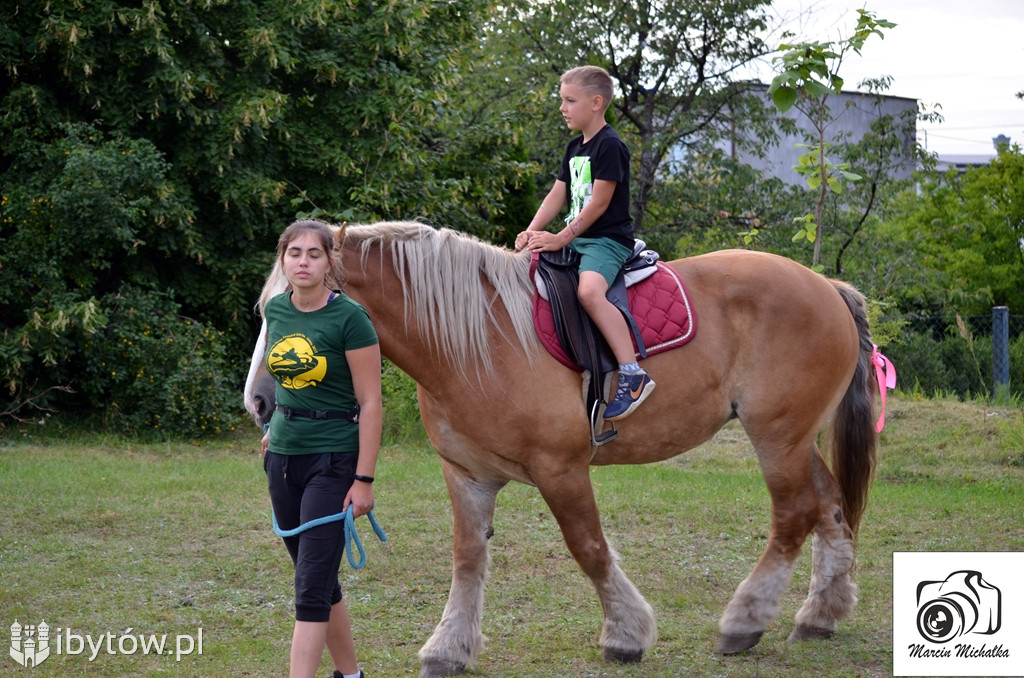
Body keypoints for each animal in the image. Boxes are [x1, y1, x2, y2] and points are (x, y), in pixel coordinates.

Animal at [241, 220, 880, 675]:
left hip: (777, 435)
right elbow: (468, 558)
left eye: (305, 297)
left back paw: (744, 621)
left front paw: (626, 634)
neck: (477, 341)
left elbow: (589, 548)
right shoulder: (465, 474)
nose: (259, 402)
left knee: (795, 513)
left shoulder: (562, 470)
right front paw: (449, 647)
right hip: (796, 437)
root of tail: (826, 287)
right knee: (830, 506)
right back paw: (821, 614)